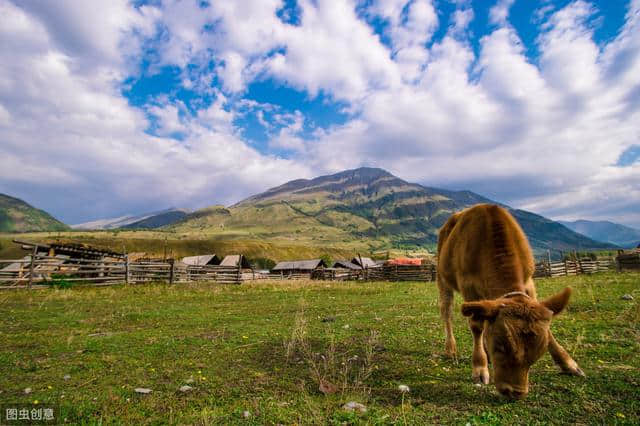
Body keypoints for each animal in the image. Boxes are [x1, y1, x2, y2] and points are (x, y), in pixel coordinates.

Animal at [438, 205, 584, 398]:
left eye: (538, 352)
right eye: (500, 346)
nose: (515, 392)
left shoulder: (529, 283)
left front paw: (568, 363)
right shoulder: (468, 286)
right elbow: (476, 325)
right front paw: (479, 368)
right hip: (443, 279)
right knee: (447, 313)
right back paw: (451, 349)